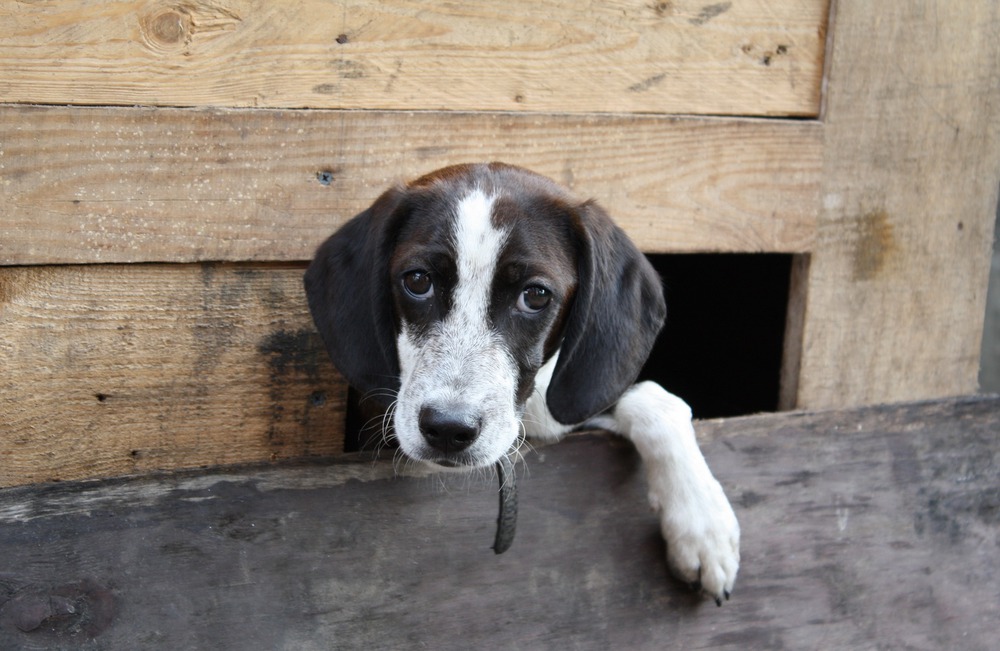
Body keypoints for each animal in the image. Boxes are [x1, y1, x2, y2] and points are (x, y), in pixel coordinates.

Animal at [306, 162, 744, 608]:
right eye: (417, 280)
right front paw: (702, 525)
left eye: (535, 295)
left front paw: (703, 524)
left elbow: (659, 401)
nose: (447, 429)